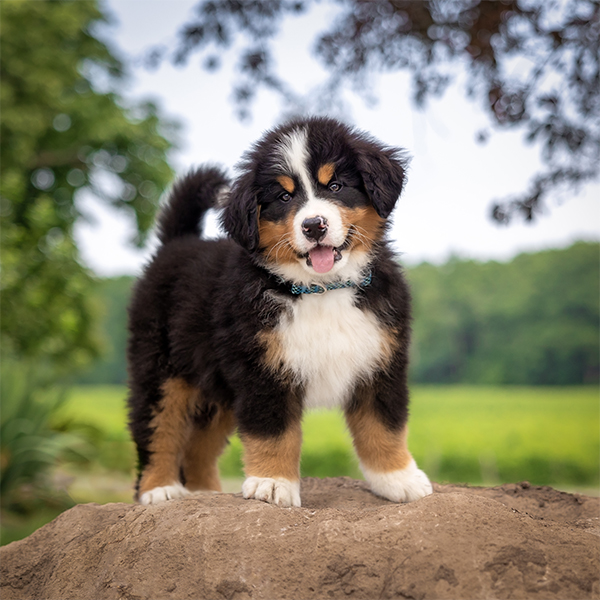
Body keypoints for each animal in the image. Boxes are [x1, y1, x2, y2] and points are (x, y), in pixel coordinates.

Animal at [129, 116, 434, 506]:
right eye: (285, 197)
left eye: (335, 185)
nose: (314, 225)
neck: (321, 289)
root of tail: (177, 243)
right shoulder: (262, 370)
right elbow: (274, 431)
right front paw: (272, 483)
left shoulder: (380, 362)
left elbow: (384, 426)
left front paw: (398, 479)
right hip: (160, 370)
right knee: (157, 428)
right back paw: (160, 489)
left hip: (217, 388)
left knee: (199, 445)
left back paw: (204, 492)